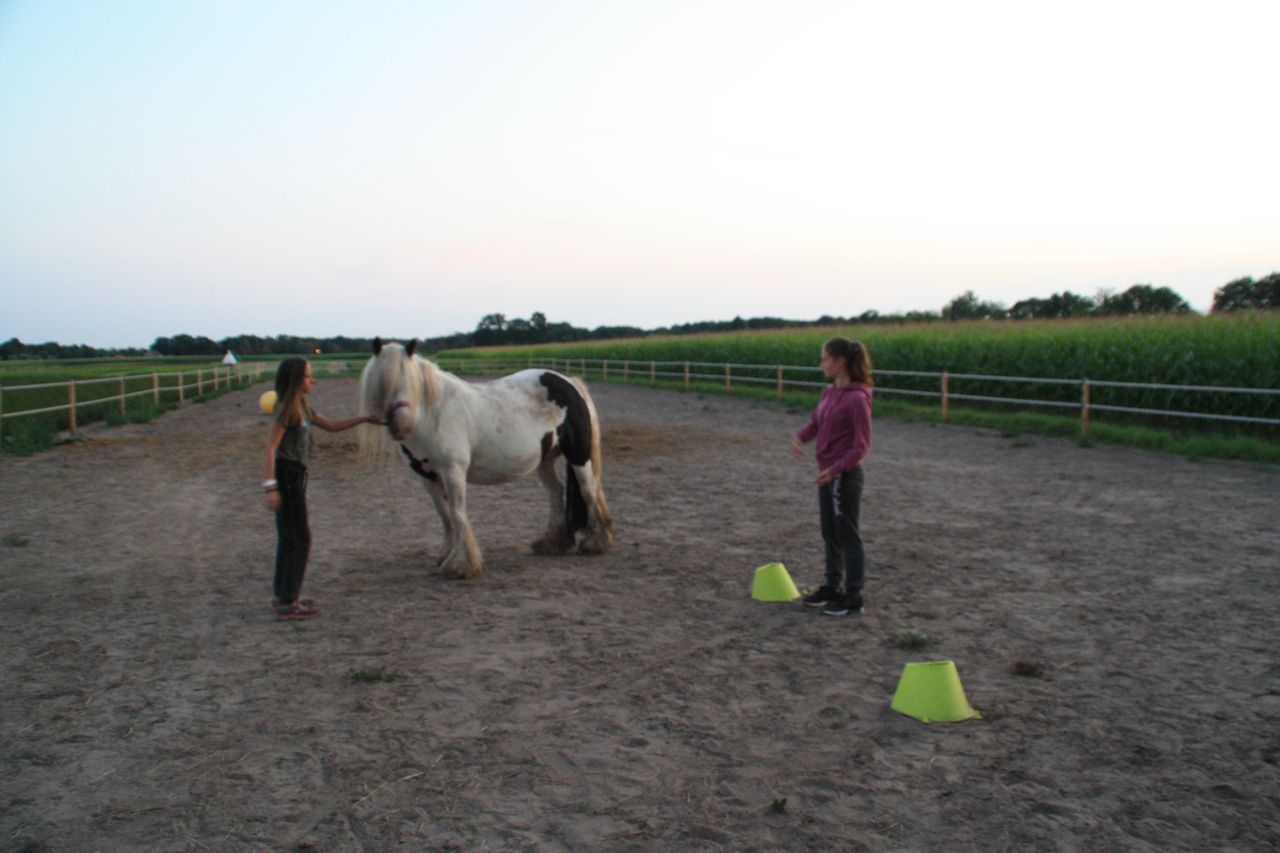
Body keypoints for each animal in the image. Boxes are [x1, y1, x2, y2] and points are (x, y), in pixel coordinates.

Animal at [358, 340, 611, 578]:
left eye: (410, 380)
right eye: (382, 383)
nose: (399, 426)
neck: (433, 414)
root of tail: (568, 382)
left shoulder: (453, 472)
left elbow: (457, 514)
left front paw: (461, 565)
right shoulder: (427, 478)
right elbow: (445, 516)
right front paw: (446, 556)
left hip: (578, 456)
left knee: (589, 490)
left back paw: (596, 543)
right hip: (545, 460)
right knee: (556, 492)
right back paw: (552, 543)